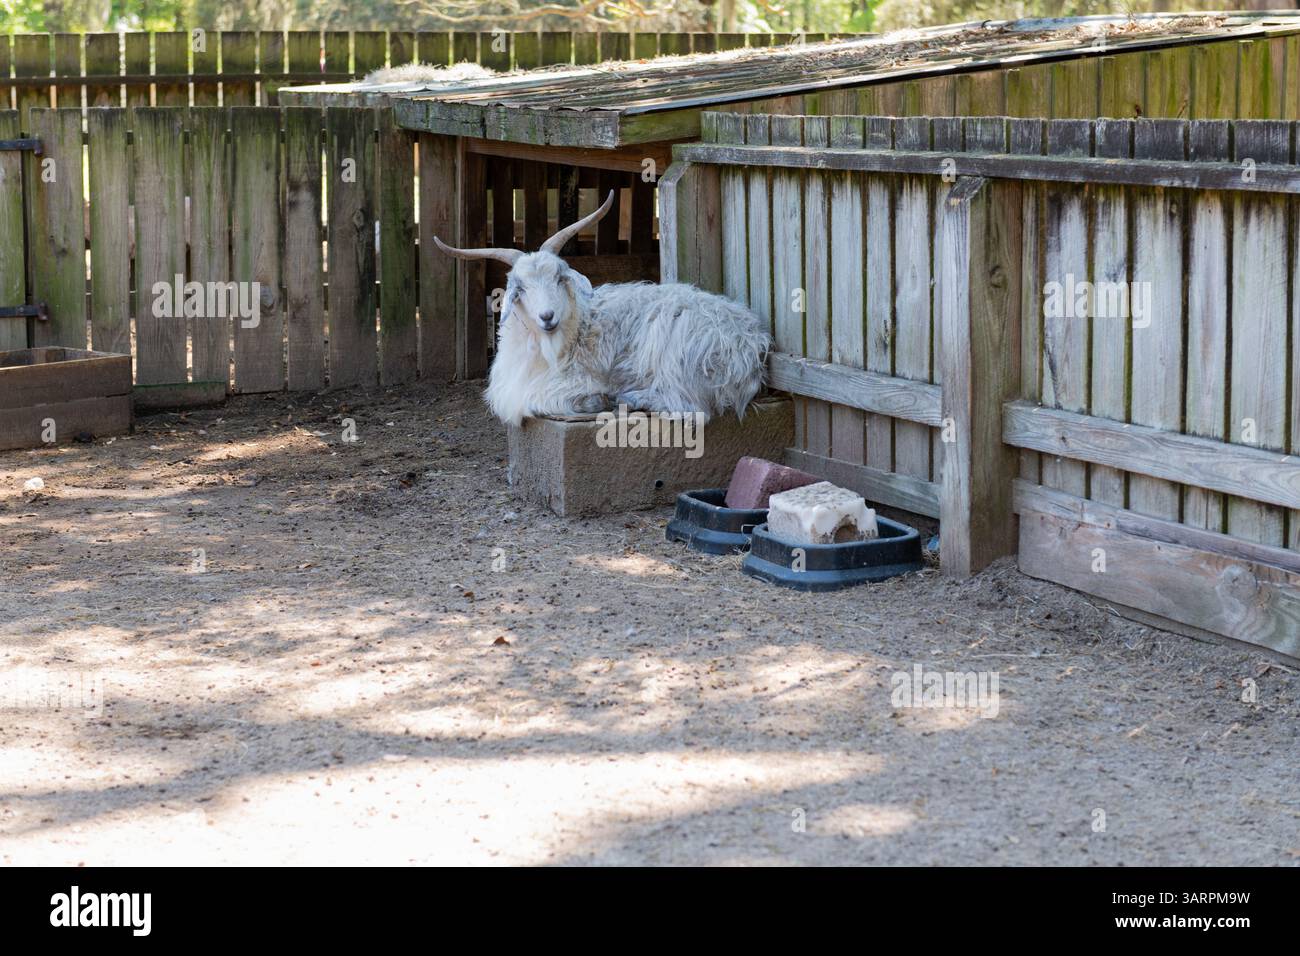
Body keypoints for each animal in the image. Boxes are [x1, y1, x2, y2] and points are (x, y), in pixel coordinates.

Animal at [435, 191, 771, 428]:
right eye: (521, 288)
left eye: (559, 277)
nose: (547, 316)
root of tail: (752, 343)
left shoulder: (572, 379)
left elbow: (540, 398)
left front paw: (596, 399)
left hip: (676, 349)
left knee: (690, 408)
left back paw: (630, 397)